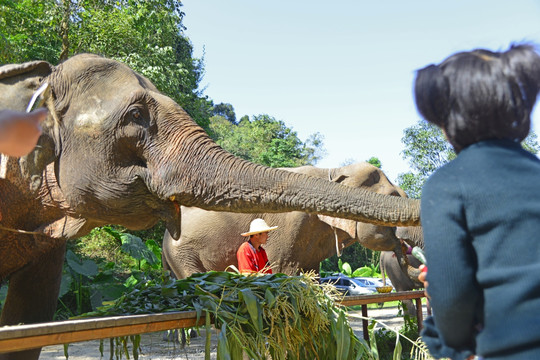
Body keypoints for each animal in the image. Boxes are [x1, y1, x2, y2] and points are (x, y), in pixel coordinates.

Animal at [162, 162, 412, 278]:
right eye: (393, 197)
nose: (405, 248)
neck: (333, 172)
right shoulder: (289, 225)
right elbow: (283, 269)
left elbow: (312, 273)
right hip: (183, 254)